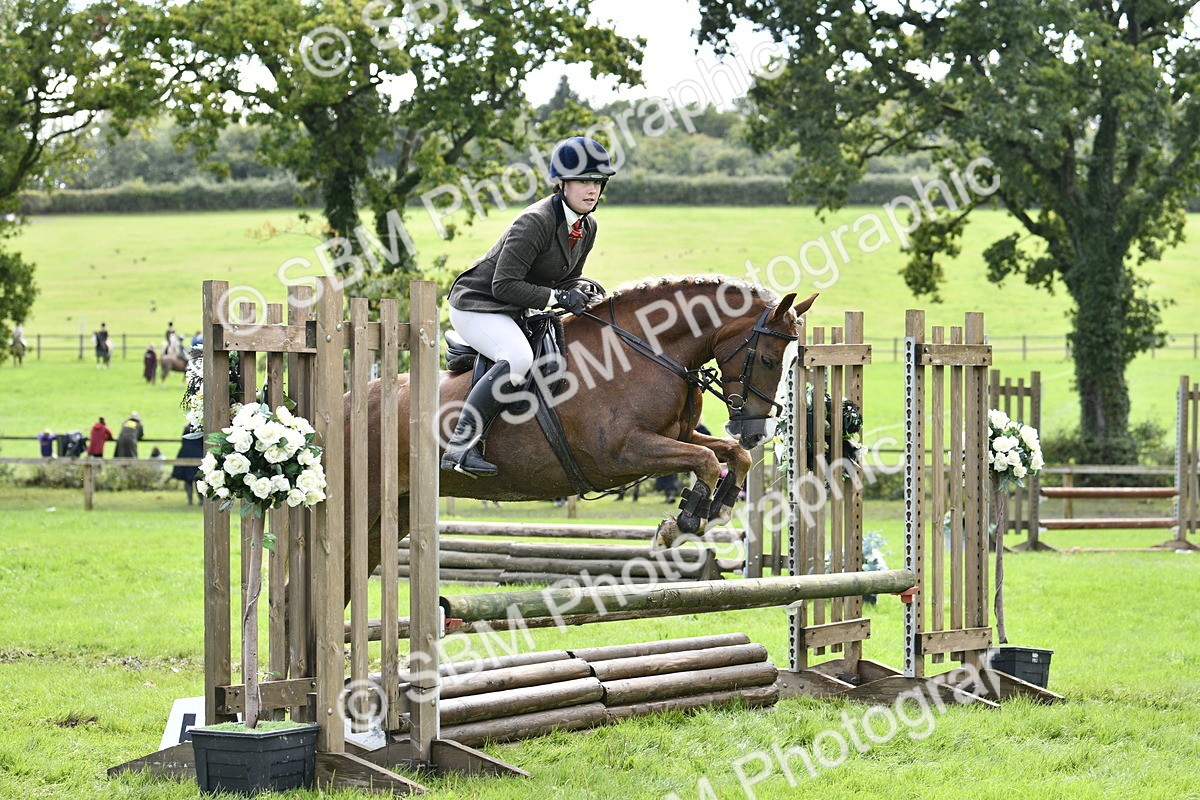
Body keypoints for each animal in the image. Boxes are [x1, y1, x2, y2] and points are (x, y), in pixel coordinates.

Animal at [340, 275, 815, 605]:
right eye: (768, 359)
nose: (756, 431)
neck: (645, 350)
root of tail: (344, 404)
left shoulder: (675, 435)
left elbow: (730, 457)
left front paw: (713, 508)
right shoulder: (621, 453)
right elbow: (704, 460)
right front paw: (680, 523)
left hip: (396, 513)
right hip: (366, 507)